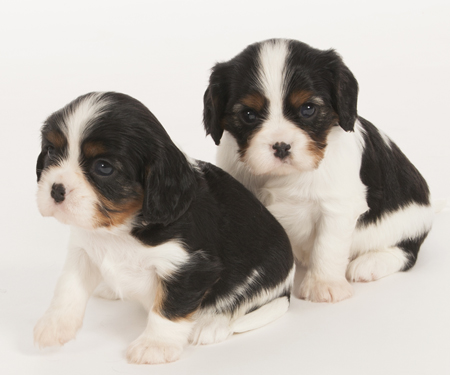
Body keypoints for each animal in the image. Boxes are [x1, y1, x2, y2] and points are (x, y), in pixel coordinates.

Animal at [35, 92, 296, 366]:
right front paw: (54, 325)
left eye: (104, 167)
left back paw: (212, 324)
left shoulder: (190, 267)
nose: (56, 189)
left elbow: (169, 309)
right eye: (51, 151)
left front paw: (155, 345)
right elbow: (68, 287)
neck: (121, 228)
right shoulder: (83, 250)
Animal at [203, 40, 432, 306]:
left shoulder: (338, 207)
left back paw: (371, 263)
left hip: (408, 223)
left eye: (308, 109)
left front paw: (324, 284)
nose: (281, 146)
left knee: (407, 251)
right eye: (249, 115)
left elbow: (328, 245)